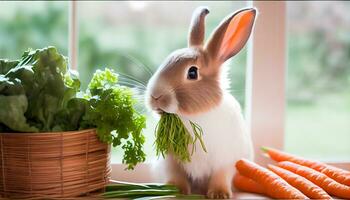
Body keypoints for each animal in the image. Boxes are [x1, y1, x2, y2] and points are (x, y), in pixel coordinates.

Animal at [146, 5, 258, 198]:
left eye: (192, 73)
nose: (155, 97)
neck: (194, 116)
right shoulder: (172, 161)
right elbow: (177, 176)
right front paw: (176, 191)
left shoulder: (225, 159)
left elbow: (221, 175)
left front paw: (219, 194)